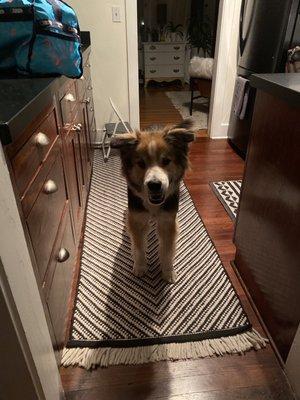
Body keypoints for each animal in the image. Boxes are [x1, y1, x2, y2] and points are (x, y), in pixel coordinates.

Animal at [110, 119, 195, 284]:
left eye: (166, 161)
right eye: (141, 163)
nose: (154, 184)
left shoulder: (168, 221)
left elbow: (167, 252)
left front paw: (168, 272)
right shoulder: (136, 219)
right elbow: (138, 248)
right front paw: (140, 267)